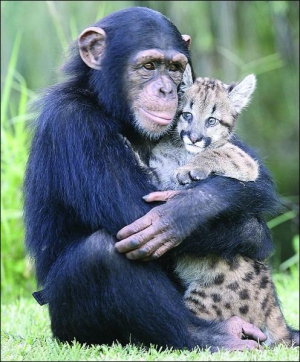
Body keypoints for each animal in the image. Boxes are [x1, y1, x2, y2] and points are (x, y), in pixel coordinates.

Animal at [23, 5, 278, 350]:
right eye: (148, 66)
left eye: (174, 68)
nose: (165, 89)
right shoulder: (71, 122)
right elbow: (134, 205)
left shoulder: (238, 158)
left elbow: (242, 167)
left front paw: (183, 209)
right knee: (101, 251)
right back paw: (214, 336)